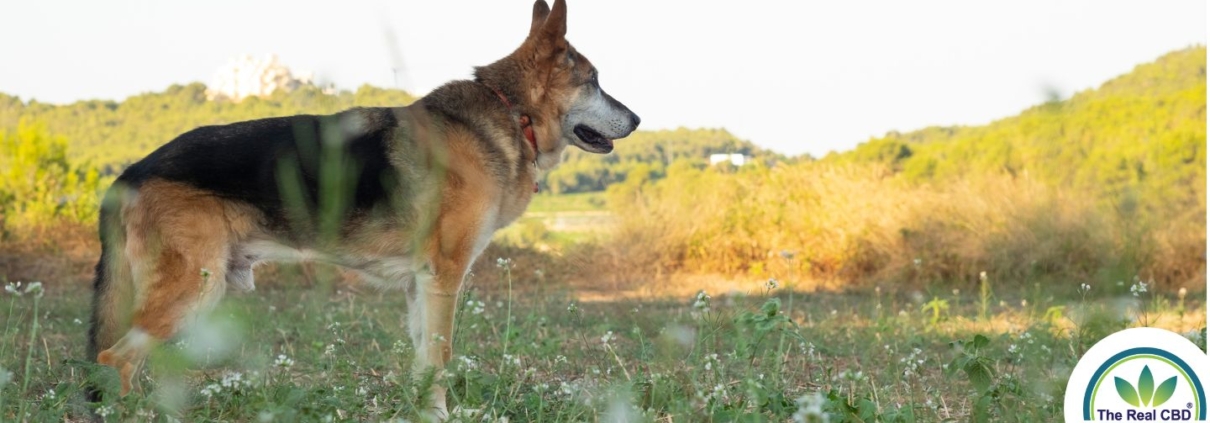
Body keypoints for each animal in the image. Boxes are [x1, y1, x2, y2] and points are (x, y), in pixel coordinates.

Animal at [88, 0, 638, 415]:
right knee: (115, 359)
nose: (636, 119)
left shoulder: (421, 286)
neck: (510, 109)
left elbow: (423, 362)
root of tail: (131, 172)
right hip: (191, 292)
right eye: (594, 81)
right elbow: (441, 356)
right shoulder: (443, 279)